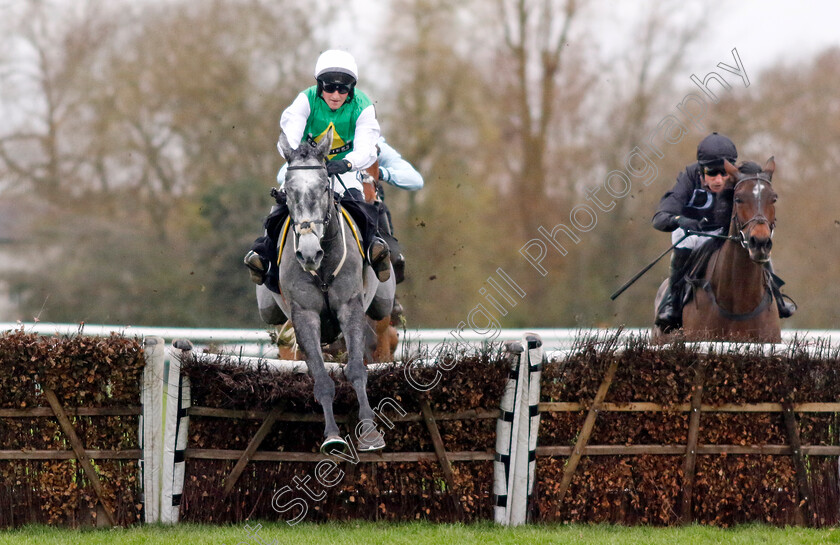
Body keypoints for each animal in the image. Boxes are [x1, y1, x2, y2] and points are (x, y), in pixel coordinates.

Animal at [254, 127, 396, 450]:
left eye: (323, 188)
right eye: (289, 191)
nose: (308, 253)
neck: (322, 266)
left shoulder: (350, 307)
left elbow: (356, 369)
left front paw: (369, 431)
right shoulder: (304, 315)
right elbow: (319, 375)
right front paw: (332, 436)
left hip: (382, 301)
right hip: (273, 312)